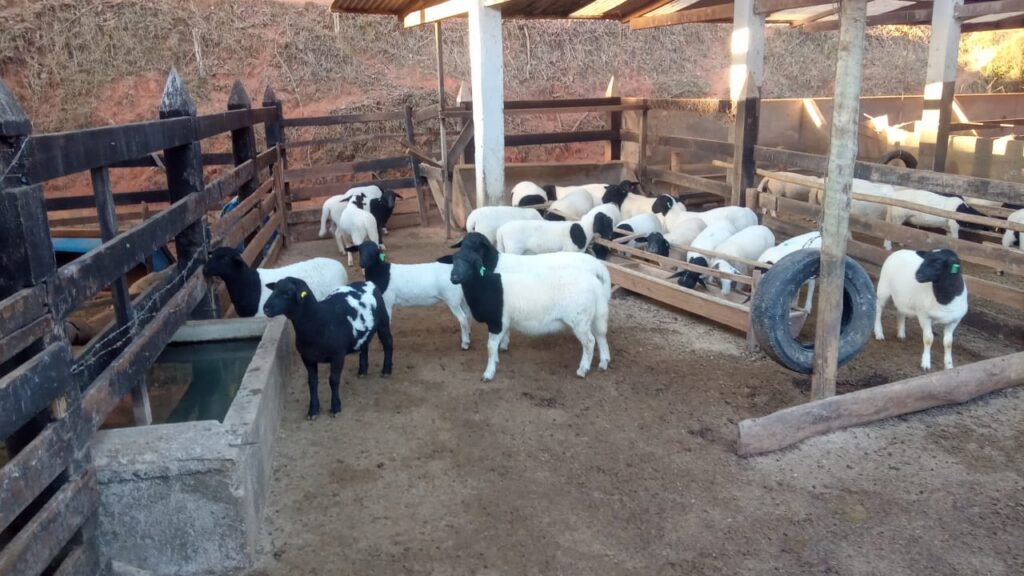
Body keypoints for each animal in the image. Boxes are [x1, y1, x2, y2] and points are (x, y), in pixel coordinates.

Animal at [448, 243, 606, 379]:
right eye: (453, 261)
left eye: (470, 262)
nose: (453, 277)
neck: (483, 285)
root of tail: (594, 283)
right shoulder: (503, 322)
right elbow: (498, 343)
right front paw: (497, 359)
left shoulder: (496, 322)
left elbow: (491, 347)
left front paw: (488, 373)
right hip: (592, 317)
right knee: (600, 335)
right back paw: (603, 362)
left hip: (579, 320)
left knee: (590, 342)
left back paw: (583, 370)